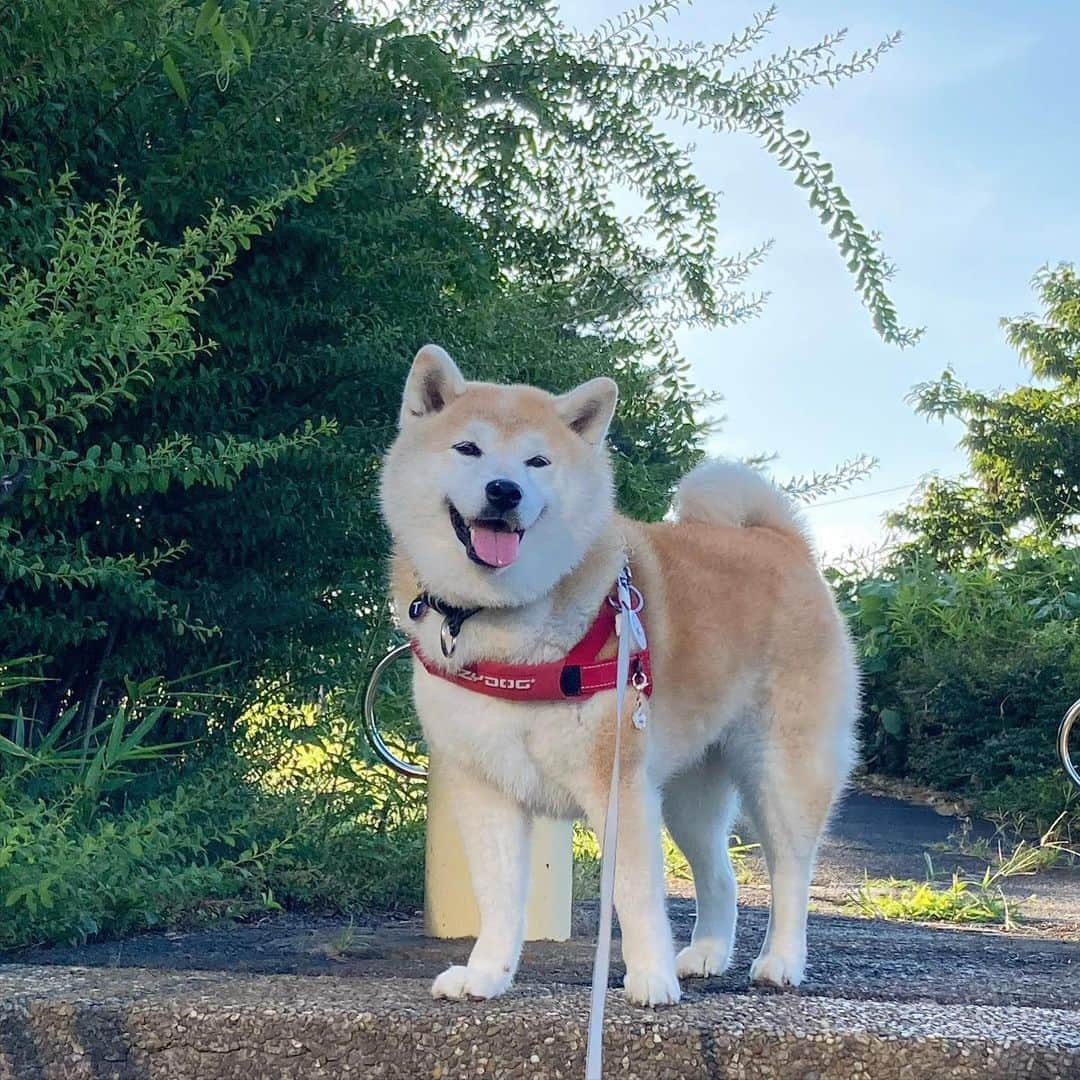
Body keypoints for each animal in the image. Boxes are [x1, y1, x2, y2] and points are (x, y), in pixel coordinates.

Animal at [380, 343, 859, 1002]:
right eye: (468, 448)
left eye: (537, 461)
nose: (504, 491)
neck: (506, 628)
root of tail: (782, 542)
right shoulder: (485, 785)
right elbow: (500, 900)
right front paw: (486, 973)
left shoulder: (617, 785)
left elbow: (634, 895)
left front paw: (650, 978)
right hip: (687, 793)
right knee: (721, 877)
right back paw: (706, 953)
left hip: (781, 771)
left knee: (790, 870)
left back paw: (781, 960)